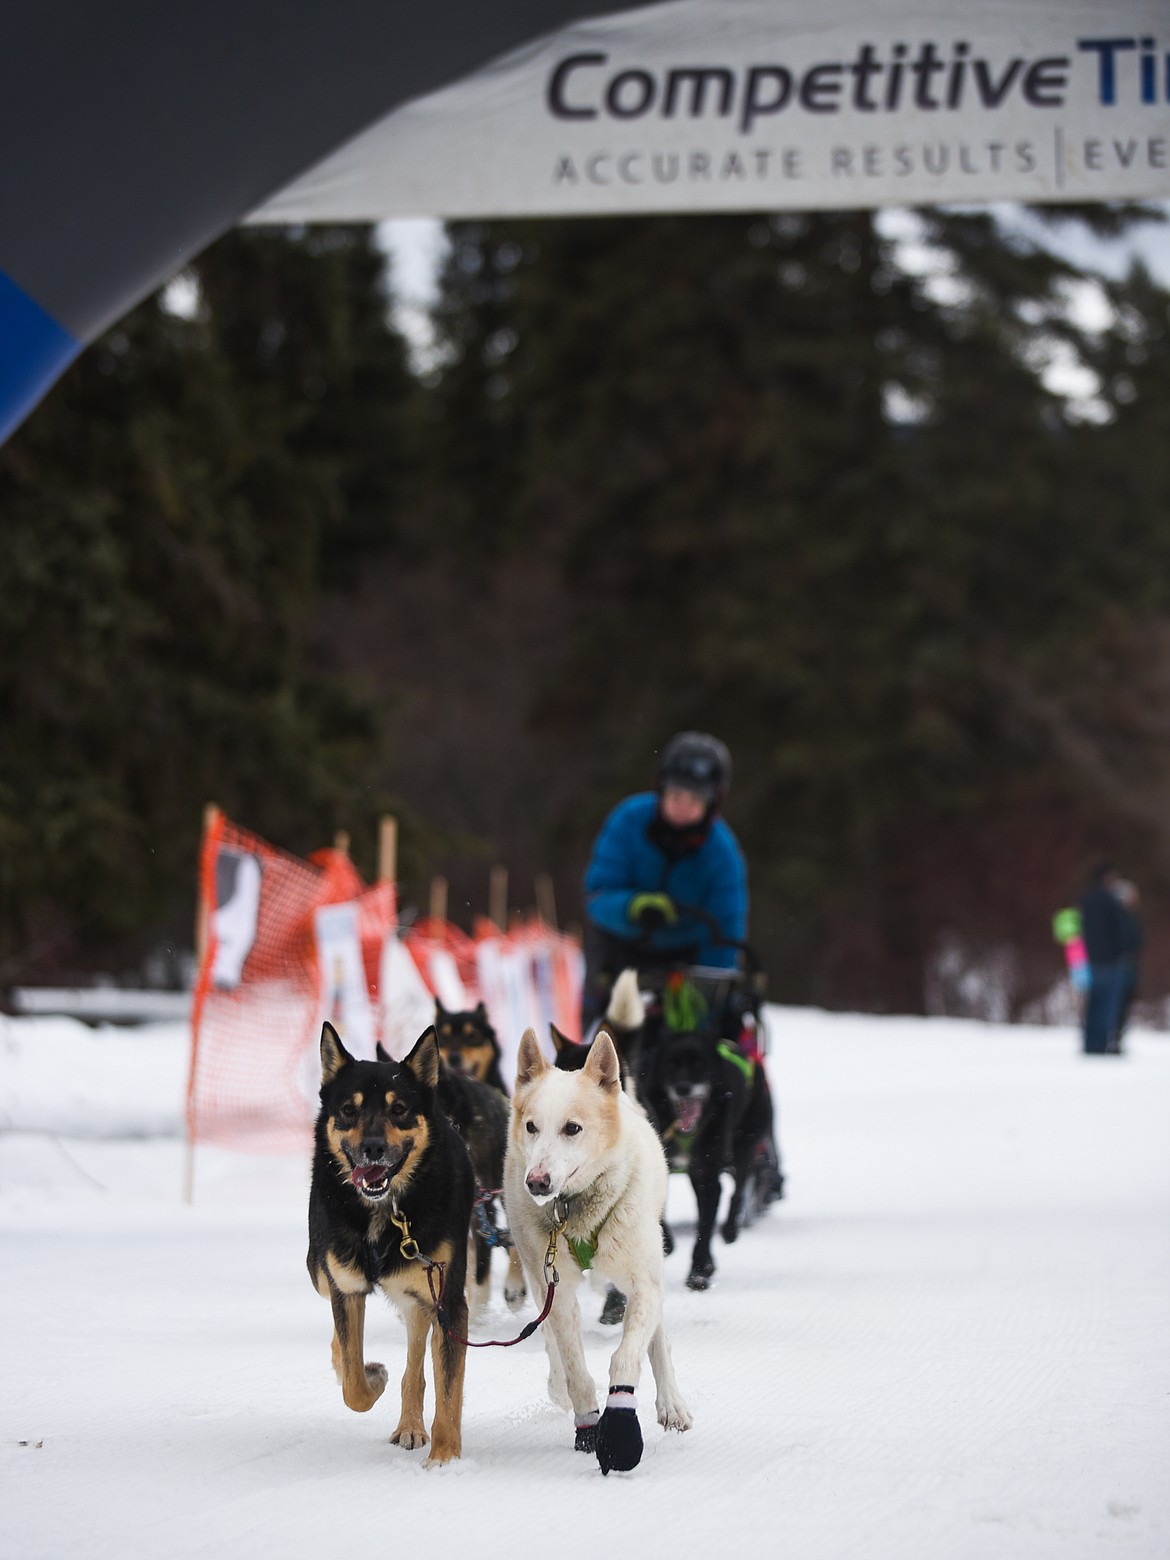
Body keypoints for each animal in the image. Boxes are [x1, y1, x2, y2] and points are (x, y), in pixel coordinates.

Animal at [312, 1023, 480, 1460]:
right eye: (348, 1110)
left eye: (399, 1108)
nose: (373, 1148)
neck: (386, 1212)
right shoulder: (346, 1288)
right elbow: (353, 1384)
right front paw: (371, 1377)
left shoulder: (447, 1302)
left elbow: (448, 1392)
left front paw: (444, 1460)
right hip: (319, 1271)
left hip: (420, 1294)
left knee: (417, 1370)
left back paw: (411, 1427)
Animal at [505, 1029, 692, 1466]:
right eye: (531, 1126)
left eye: (572, 1128)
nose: (537, 1182)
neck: (575, 1208)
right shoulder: (555, 1288)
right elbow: (574, 1365)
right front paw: (588, 1426)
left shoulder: (643, 1286)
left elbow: (627, 1356)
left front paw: (620, 1430)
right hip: (538, 1276)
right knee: (550, 1337)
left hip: (648, 1266)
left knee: (657, 1340)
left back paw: (671, 1403)